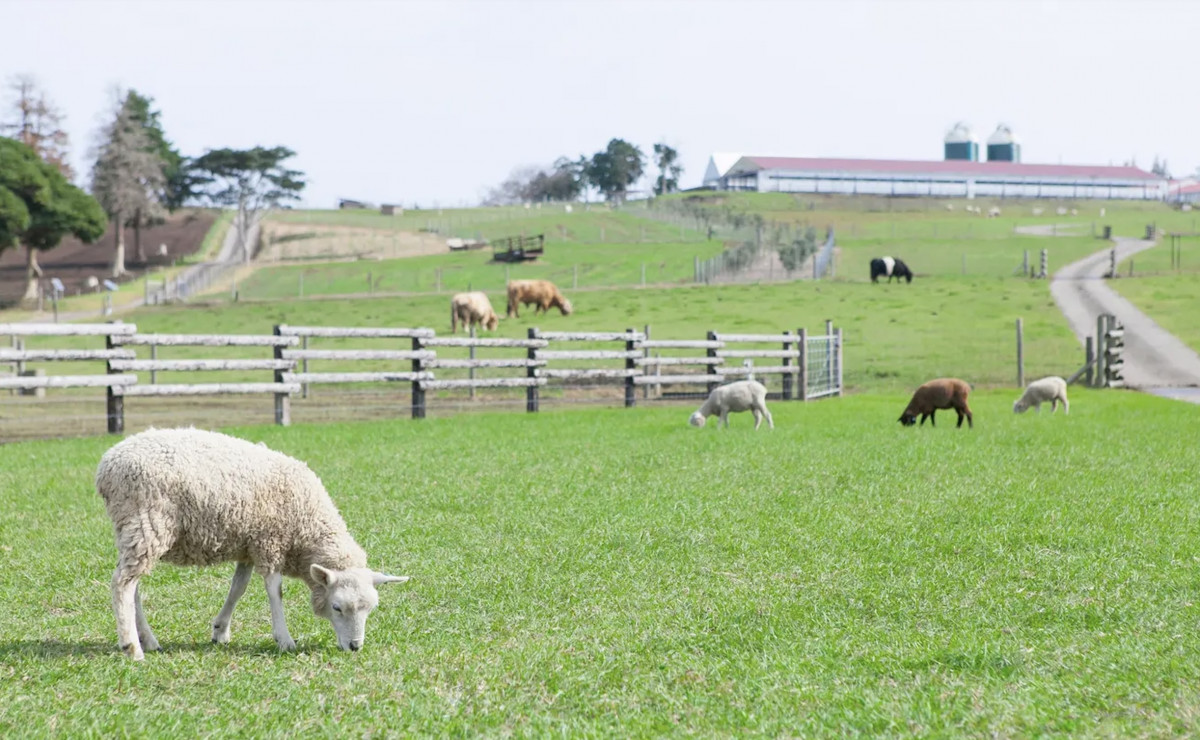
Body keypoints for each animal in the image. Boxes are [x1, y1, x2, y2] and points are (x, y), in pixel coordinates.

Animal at [94, 424, 412, 662]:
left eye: (370, 609)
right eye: (337, 607)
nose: (355, 647)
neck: (306, 525)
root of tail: (108, 463)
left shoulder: (249, 543)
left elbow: (238, 588)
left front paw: (220, 631)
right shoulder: (270, 541)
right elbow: (275, 590)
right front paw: (284, 639)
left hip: (134, 528)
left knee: (133, 585)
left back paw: (148, 640)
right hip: (148, 522)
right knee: (123, 584)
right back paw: (131, 647)